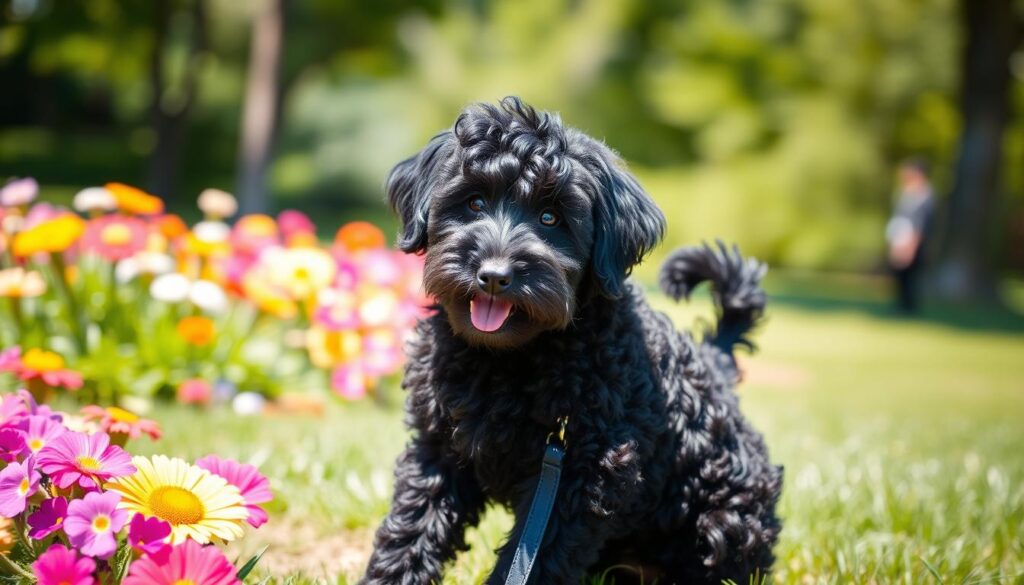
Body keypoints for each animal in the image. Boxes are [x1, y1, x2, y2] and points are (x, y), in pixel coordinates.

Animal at [362, 97, 782, 585]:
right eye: (474, 202)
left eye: (551, 218)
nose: (494, 275)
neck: (508, 358)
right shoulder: (439, 448)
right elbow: (413, 528)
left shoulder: (584, 472)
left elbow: (540, 555)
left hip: (723, 522)